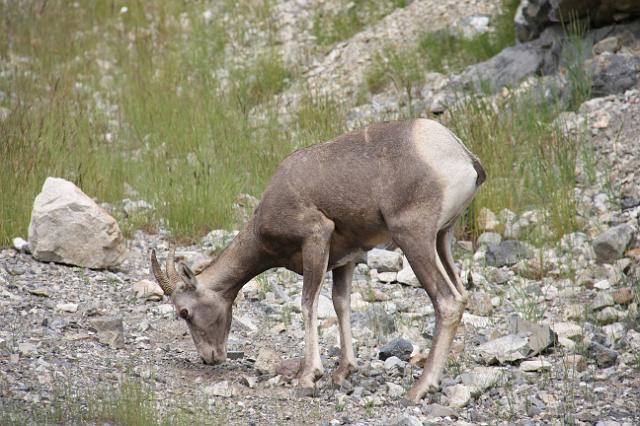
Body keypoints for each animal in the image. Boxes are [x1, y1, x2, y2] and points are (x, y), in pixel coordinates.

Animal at [151, 118, 484, 402]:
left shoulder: (315, 239)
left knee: (448, 301)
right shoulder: (345, 261)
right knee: (460, 294)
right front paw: (342, 372)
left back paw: (419, 390)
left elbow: (308, 303)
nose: (210, 358)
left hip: (413, 238)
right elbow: (340, 304)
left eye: (184, 312)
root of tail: (462, 156)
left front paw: (308, 376)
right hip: (441, 239)